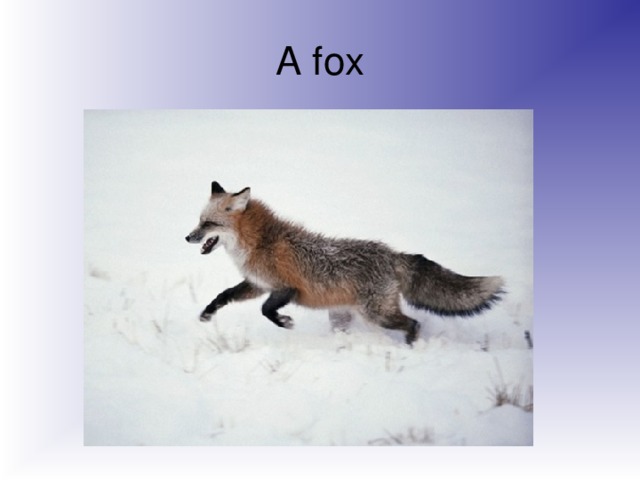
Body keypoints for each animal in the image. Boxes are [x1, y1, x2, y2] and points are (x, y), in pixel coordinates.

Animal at [185, 181, 504, 345]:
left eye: (208, 223)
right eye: (199, 221)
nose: (187, 237)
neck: (262, 242)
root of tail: (392, 253)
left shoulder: (286, 288)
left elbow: (267, 311)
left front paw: (286, 322)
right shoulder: (258, 284)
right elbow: (223, 296)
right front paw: (206, 315)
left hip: (376, 314)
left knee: (413, 322)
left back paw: (411, 345)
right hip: (343, 317)